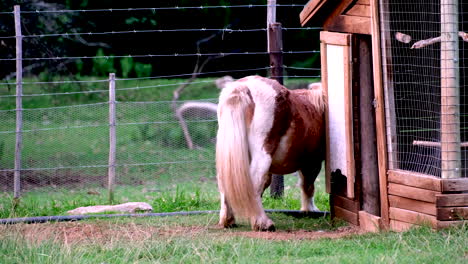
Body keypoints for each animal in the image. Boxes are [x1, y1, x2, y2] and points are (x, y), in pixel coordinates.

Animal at [216, 75, 326, 230]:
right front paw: (310, 210)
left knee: (225, 182)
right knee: (254, 182)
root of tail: (243, 87)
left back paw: (228, 220)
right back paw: (263, 223)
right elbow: (308, 185)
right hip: (263, 156)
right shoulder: (312, 162)